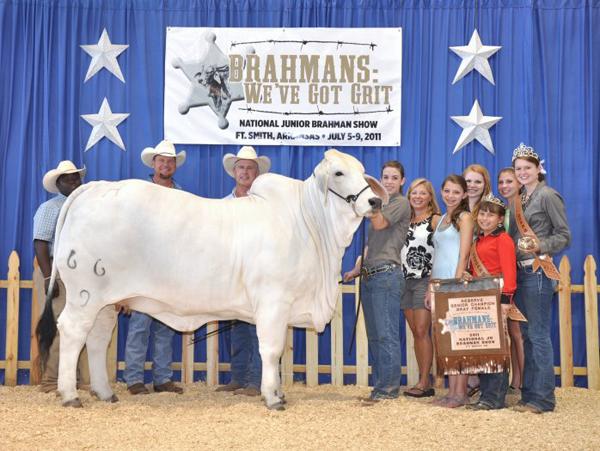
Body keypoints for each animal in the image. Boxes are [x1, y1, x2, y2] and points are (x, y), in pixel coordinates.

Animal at [37, 150, 386, 412]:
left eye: (362, 171)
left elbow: (276, 353)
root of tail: (95, 188)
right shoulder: (273, 301)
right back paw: (70, 395)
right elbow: (271, 350)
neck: (308, 223)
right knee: (72, 332)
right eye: (338, 173)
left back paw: (105, 392)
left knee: (96, 339)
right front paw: (272, 398)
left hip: (106, 301)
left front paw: (278, 392)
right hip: (85, 293)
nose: (375, 202)